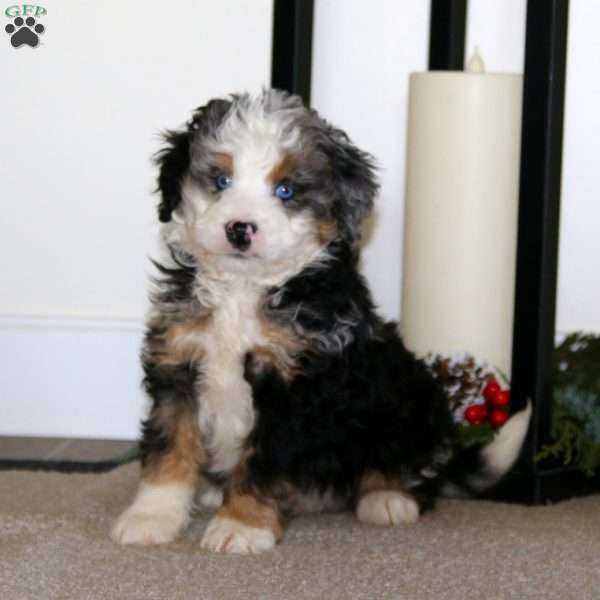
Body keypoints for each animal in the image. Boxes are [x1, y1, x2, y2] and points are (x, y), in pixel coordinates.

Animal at [111, 89, 528, 552]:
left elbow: (262, 460)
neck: (242, 290)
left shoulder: (295, 383)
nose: (240, 228)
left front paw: (242, 525)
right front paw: (152, 517)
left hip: (404, 393)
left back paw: (387, 498)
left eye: (286, 190)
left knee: (414, 468)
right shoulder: (178, 361)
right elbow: (170, 444)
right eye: (220, 180)